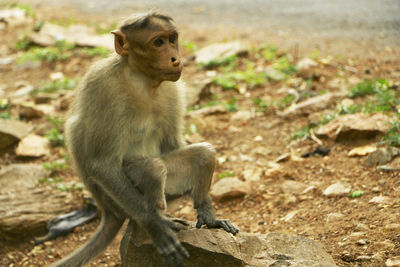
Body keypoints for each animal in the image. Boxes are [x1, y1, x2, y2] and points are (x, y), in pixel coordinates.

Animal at [50, 12, 238, 267]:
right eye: (158, 42)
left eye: (172, 39)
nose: (175, 58)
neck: (142, 80)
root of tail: (108, 211)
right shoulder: (102, 84)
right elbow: (102, 164)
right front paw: (155, 226)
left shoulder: (173, 89)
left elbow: (172, 144)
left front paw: (209, 215)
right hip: (116, 200)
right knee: (152, 167)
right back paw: (154, 215)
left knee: (203, 154)